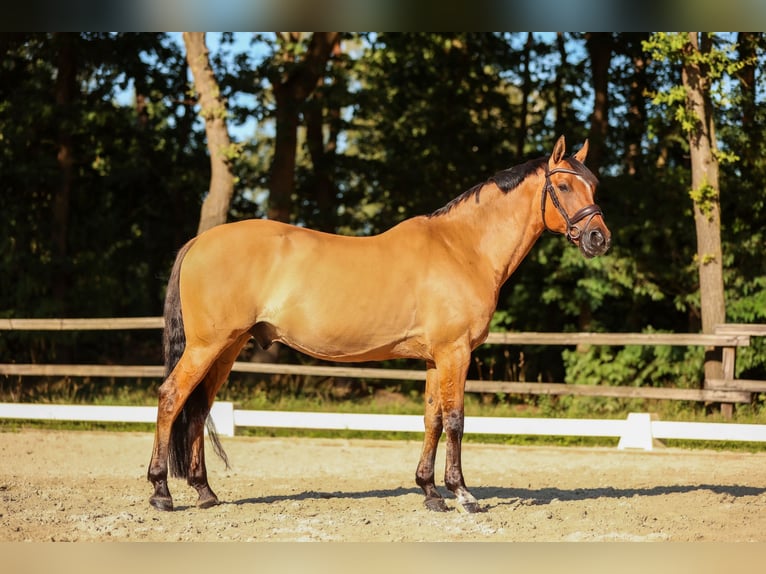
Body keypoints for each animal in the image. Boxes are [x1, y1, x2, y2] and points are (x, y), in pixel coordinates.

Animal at [147, 135, 610, 513]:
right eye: (563, 186)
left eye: (594, 185)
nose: (599, 239)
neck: (462, 249)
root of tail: (199, 241)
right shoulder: (455, 353)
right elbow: (456, 419)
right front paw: (462, 494)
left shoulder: (435, 359)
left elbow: (432, 419)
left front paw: (429, 492)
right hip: (207, 345)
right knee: (171, 398)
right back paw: (161, 492)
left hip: (226, 348)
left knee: (198, 407)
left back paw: (205, 492)